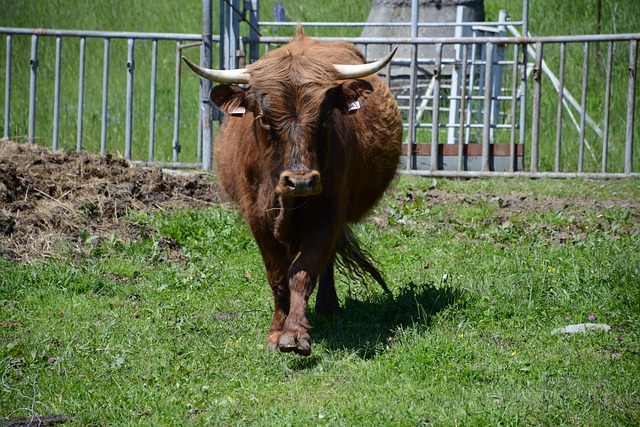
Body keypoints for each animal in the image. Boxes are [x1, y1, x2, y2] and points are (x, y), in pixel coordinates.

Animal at [182, 25, 400, 356]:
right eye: (263, 118)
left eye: (324, 117)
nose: (301, 182)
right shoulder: (258, 219)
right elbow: (277, 276)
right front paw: (276, 331)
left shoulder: (328, 215)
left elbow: (303, 272)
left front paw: (295, 333)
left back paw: (328, 305)